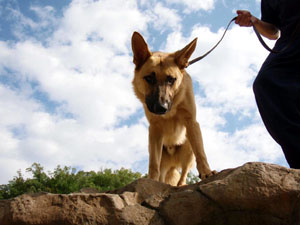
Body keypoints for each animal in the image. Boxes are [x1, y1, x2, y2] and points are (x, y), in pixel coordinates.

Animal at [131, 32, 216, 186]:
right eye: (149, 78)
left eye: (171, 79)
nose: (161, 108)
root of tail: (172, 163)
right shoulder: (155, 130)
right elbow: (153, 164)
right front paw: (151, 181)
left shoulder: (191, 122)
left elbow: (201, 153)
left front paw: (207, 172)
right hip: (160, 155)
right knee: (161, 172)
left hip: (188, 149)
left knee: (183, 174)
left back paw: (181, 184)